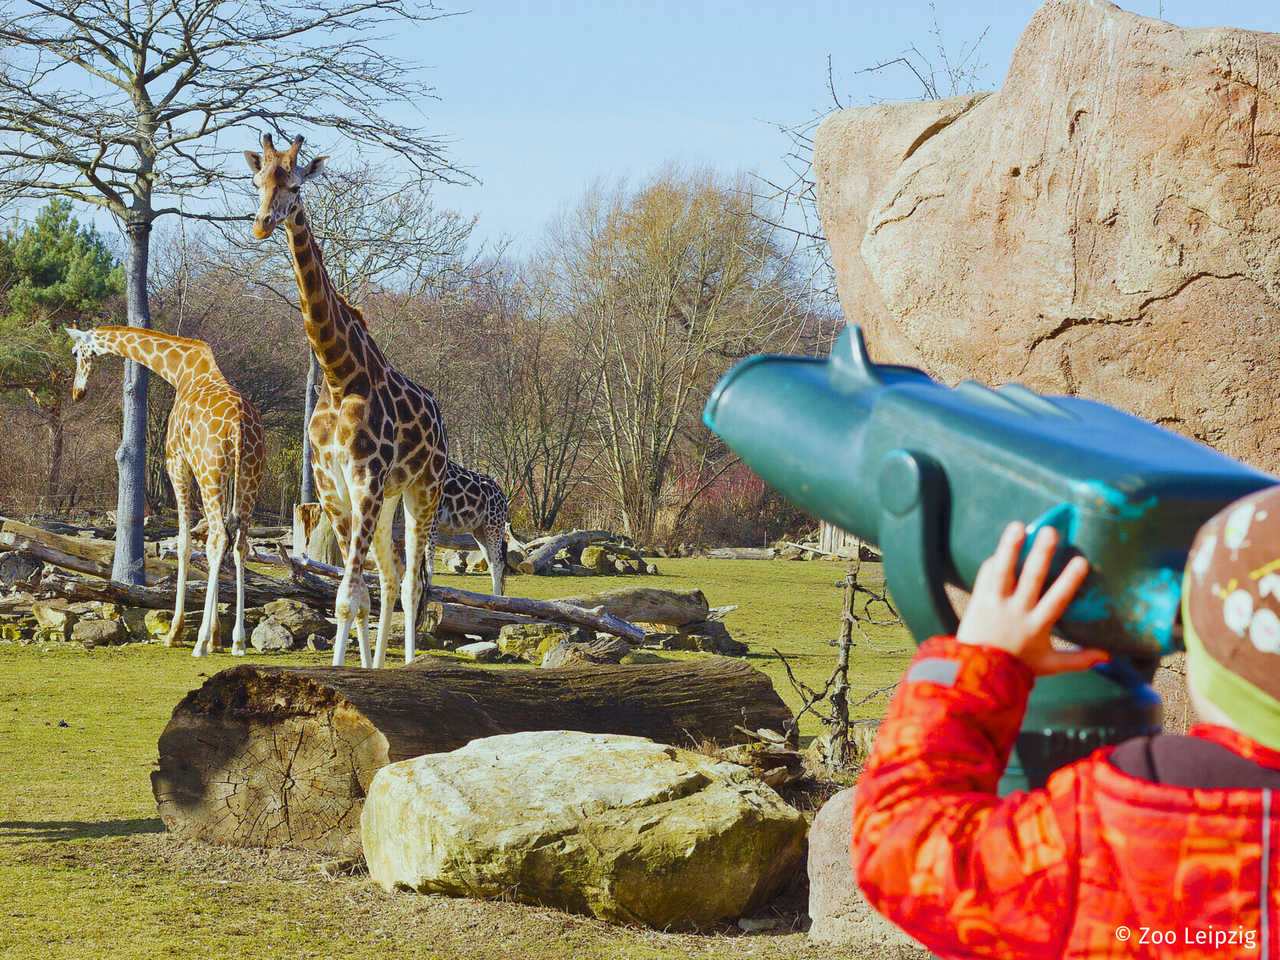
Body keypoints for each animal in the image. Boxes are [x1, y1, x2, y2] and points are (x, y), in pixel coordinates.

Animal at [66, 327, 264, 660]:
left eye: (76, 352)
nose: (77, 393)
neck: (181, 372)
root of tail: (239, 427)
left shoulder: (177, 463)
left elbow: (184, 543)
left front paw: (177, 633)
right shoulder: (217, 476)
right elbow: (213, 544)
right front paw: (218, 638)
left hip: (210, 474)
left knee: (218, 539)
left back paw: (199, 643)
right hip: (249, 477)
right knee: (238, 544)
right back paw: (237, 642)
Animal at [241, 135, 448, 670]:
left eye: (295, 185)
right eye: (257, 180)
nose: (262, 223)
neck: (338, 375)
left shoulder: (366, 479)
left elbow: (348, 595)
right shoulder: (331, 484)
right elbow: (354, 598)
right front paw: (349, 673)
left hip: (424, 490)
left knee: (414, 583)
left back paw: (410, 664)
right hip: (389, 497)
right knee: (392, 577)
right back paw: (379, 666)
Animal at [430, 463, 509, 599]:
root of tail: (503, 497)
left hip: (494, 524)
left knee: (499, 563)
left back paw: (497, 599)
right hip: (479, 530)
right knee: (492, 563)